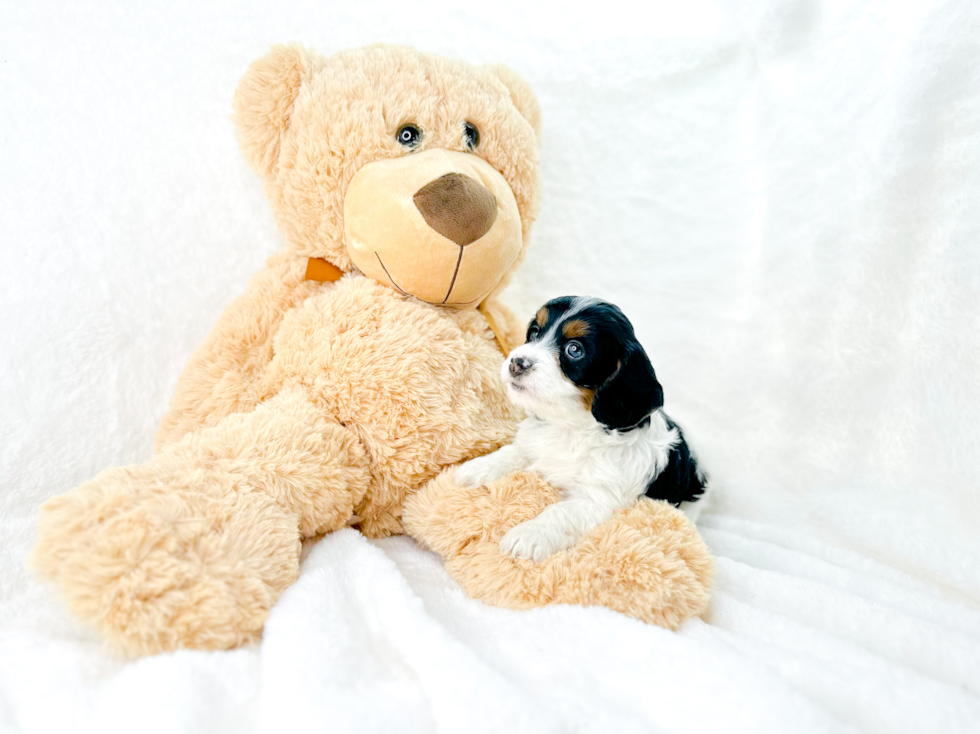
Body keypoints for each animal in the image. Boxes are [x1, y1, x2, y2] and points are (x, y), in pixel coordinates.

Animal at [456, 298, 708, 564]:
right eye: (534, 332)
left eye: (574, 350)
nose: (516, 363)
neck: (571, 428)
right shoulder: (533, 445)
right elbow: (511, 453)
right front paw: (477, 468)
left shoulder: (598, 499)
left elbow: (561, 512)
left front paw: (530, 534)